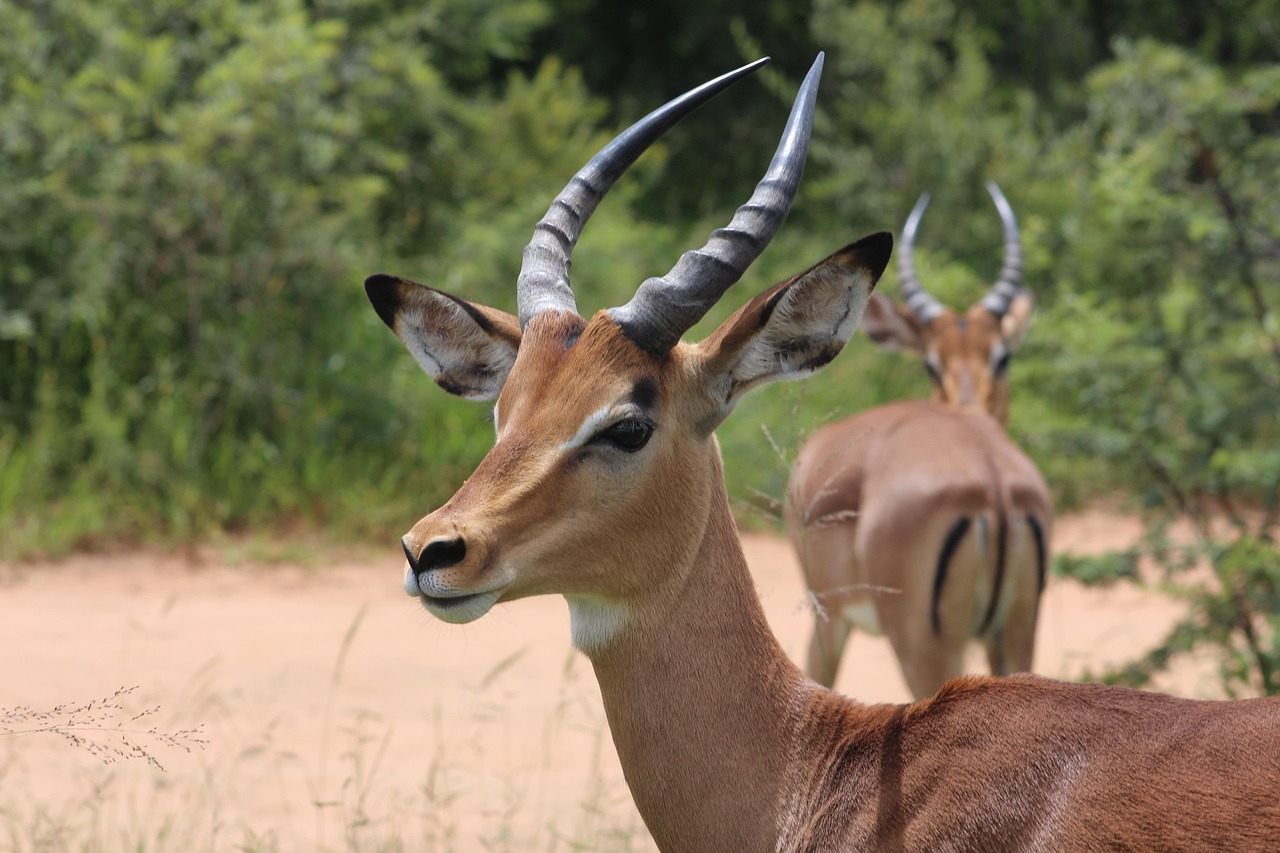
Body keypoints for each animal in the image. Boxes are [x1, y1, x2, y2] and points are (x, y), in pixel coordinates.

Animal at [786, 186, 1053, 700]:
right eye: (932, 361)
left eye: (1002, 356)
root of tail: (994, 483)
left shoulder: (827, 615)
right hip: (1016, 635)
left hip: (925, 646)